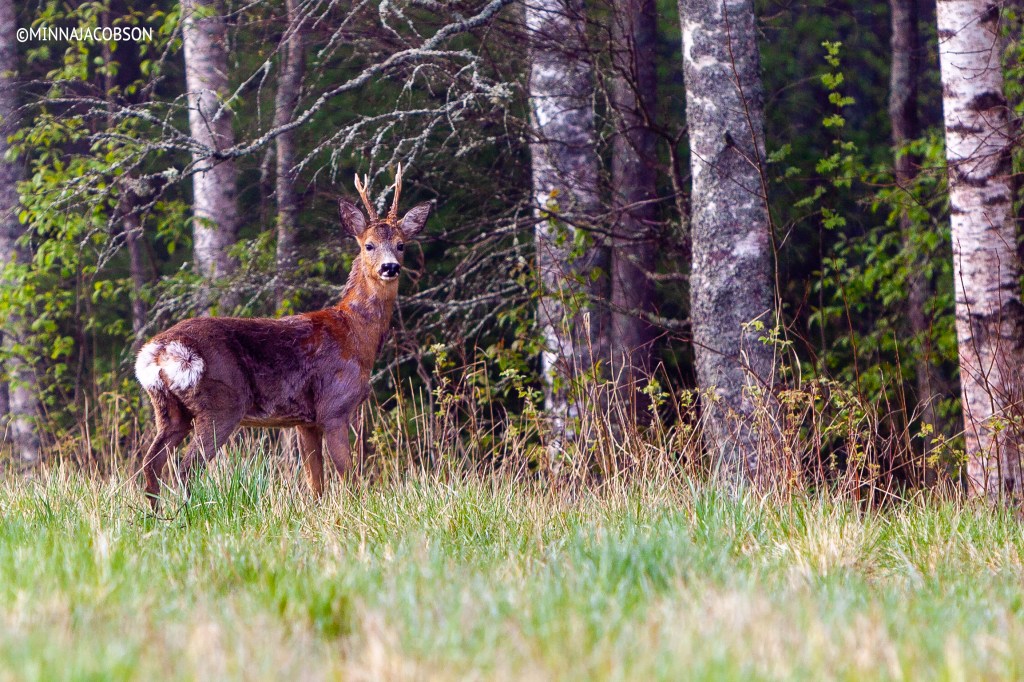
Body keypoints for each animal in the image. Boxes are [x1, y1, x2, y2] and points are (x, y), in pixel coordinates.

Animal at [135, 165, 429, 509]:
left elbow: (315, 483)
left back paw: (156, 514)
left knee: (151, 463)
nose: (390, 267)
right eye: (368, 245)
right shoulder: (334, 407)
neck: (356, 334)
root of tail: (157, 352)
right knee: (185, 467)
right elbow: (349, 476)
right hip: (221, 403)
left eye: (401, 244)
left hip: (169, 409)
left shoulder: (305, 420)